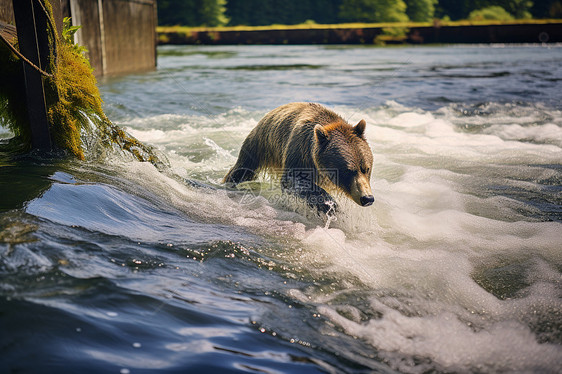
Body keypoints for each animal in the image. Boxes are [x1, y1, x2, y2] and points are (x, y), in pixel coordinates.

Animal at [222, 102, 372, 213]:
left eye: (366, 168)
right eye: (348, 170)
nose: (367, 198)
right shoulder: (300, 151)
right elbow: (295, 179)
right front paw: (331, 206)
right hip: (259, 144)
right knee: (242, 170)